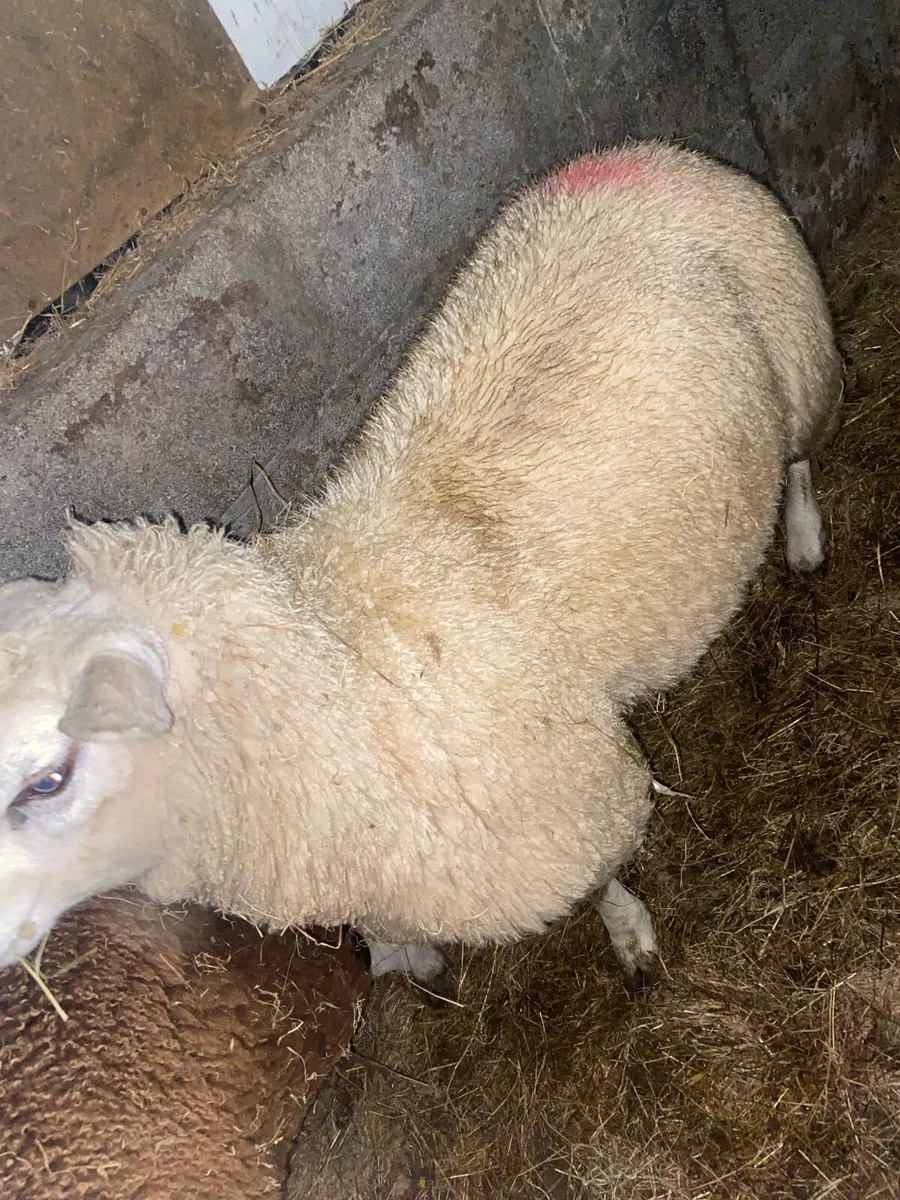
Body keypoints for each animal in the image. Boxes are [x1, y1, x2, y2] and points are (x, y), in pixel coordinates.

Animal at [0, 140, 841, 989]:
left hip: (798, 342)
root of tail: (631, 156)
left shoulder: (572, 810)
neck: (339, 682)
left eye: (48, 779)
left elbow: (600, 881)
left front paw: (630, 934)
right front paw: (410, 959)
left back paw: (804, 537)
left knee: (800, 454)